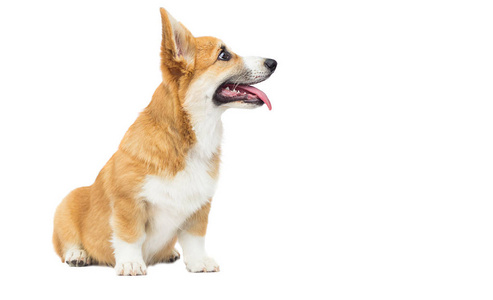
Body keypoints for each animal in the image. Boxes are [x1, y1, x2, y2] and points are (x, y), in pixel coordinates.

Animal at [53, 7, 276, 276]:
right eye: (224, 55)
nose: (273, 62)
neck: (186, 140)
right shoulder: (128, 203)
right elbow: (130, 236)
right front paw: (130, 264)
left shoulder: (199, 207)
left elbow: (195, 238)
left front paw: (199, 262)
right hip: (67, 205)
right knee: (67, 243)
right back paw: (78, 254)